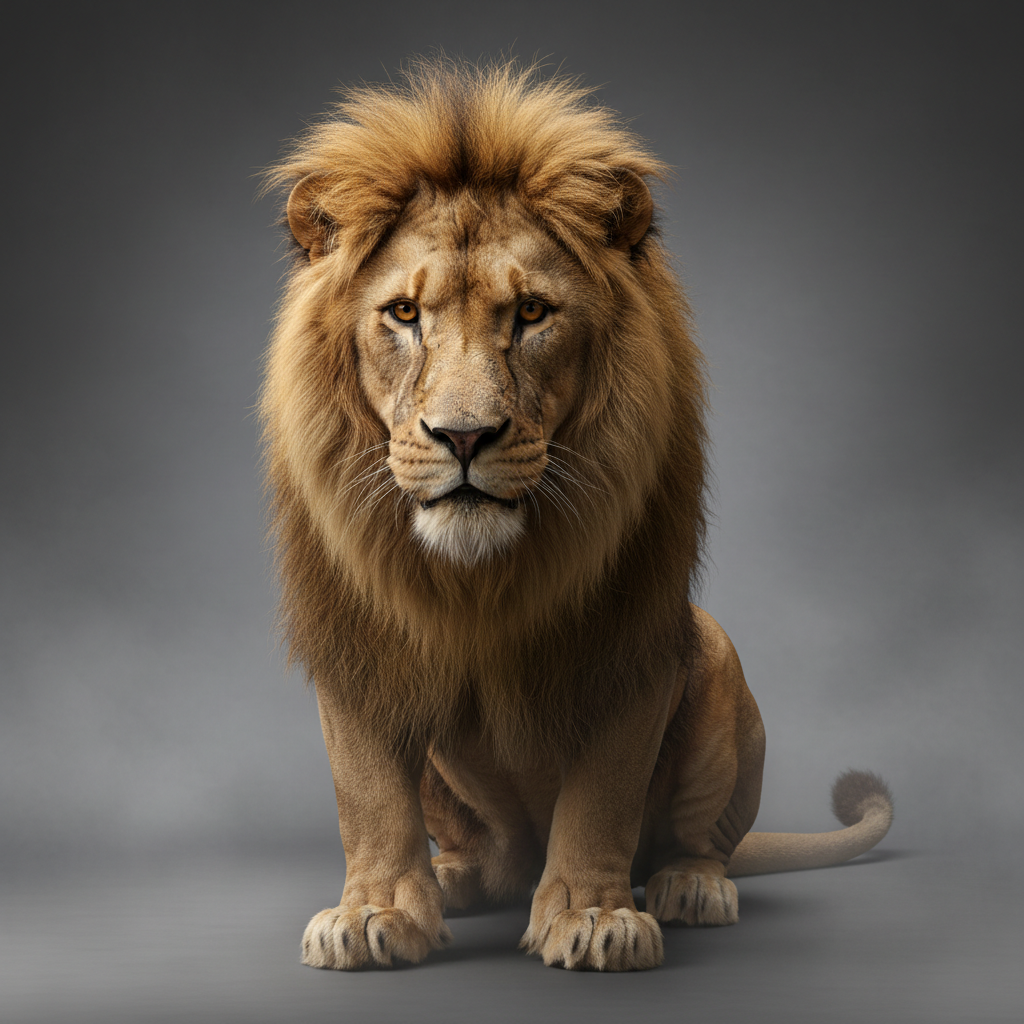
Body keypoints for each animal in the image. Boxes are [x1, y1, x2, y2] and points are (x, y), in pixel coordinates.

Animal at [260, 61, 894, 972]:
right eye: (404, 315)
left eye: (531, 313)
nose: (463, 436)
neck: (482, 578)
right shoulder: (359, 643)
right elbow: (368, 792)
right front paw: (373, 911)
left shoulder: (628, 643)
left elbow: (603, 793)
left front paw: (593, 917)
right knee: (488, 853)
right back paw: (455, 878)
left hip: (712, 654)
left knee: (694, 841)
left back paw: (689, 886)